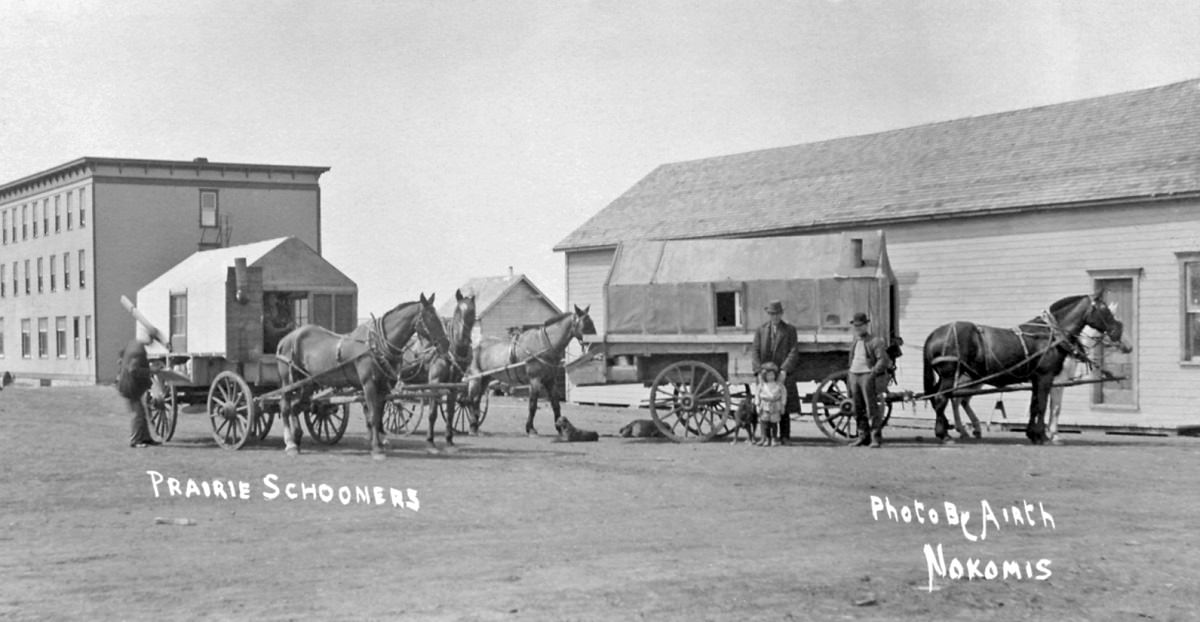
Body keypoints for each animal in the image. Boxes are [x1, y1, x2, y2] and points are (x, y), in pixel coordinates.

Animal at [274, 295, 448, 461]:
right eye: (429, 318)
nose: (446, 344)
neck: (375, 346)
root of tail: (285, 339)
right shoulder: (368, 384)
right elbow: (373, 416)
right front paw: (377, 449)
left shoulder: (383, 387)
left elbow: (378, 417)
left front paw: (380, 443)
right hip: (288, 381)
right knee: (285, 407)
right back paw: (290, 443)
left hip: (308, 383)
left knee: (296, 407)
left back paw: (297, 439)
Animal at [463, 307, 595, 437]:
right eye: (586, 324)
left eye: (591, 323)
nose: (593, 345)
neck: (543, 344)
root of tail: (474, 345)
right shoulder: (534, 380)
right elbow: (533, 405)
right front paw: (531, 429)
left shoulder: (550, 380)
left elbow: (555, 404)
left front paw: (559, 428)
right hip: (475, 378)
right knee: (471, 400)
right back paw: (473, 427)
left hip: (485, 378)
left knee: (476, 400)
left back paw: (475, 426)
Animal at [921, 295, 1118, 446]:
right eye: (1105, 311)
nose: (1117, 331)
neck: (1052, 335)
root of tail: (934, 334)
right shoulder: (1046, 377)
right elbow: (1044, 406)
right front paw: (1043, 435)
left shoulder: (1037, 379)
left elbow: (1034, 405)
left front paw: (1033, 434)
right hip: (951, 375)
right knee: (943, 399)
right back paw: (945, 435)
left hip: (949, 377)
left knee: (941, 399)